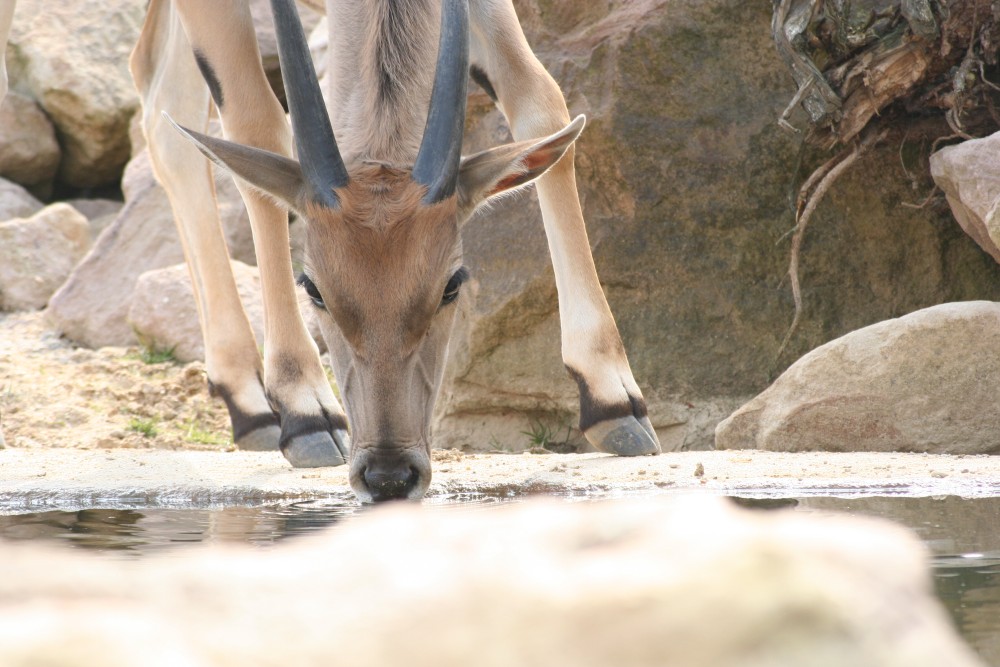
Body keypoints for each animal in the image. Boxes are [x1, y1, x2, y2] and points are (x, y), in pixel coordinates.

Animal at [11, 0, 664, 500]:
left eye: (452, 283)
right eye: (314, 288)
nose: (389, 475)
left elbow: (541, 101)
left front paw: (612, 396)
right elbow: (256, 126)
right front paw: (305, 409)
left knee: (158, 97)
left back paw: (248, 398)